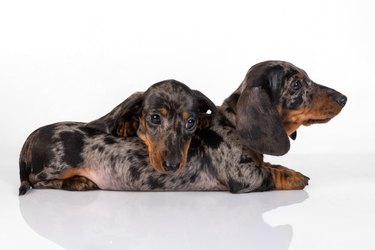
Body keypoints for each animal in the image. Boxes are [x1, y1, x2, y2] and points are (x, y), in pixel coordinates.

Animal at [17, 61, 346, 195]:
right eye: (297, 84)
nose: (344, 98)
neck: (234, 126)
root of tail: (30, 138)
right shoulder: (245, 176)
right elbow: (270, 172)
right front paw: (295, 176)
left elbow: (271, 163)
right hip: (55, 167)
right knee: (35, 181)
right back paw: (78, 183)